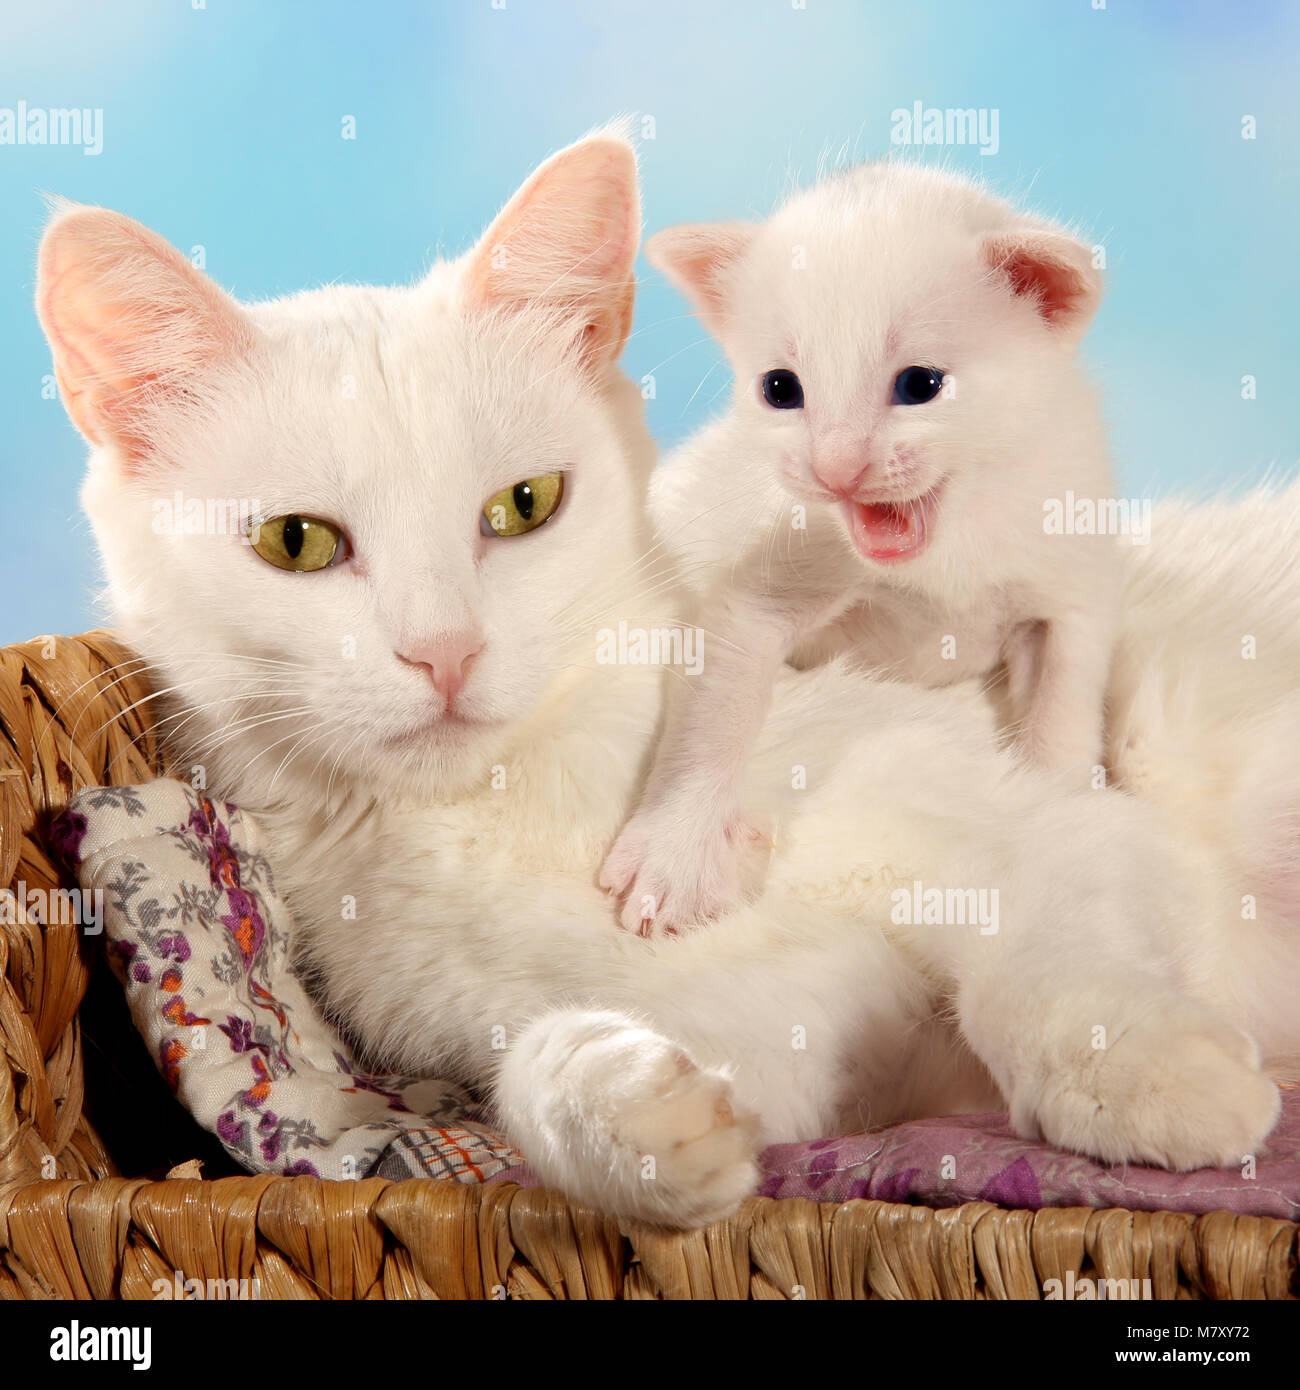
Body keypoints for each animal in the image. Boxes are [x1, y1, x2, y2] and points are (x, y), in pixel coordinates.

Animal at [606, 168, 1123, 939]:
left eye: (921, 385)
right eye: (780, 389)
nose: (834, 470)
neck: (948, 545)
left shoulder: (1071, 579)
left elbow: (1062, 711)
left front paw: (1066, 835)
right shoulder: (756, 593)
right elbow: (715, 716)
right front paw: (678, 847)